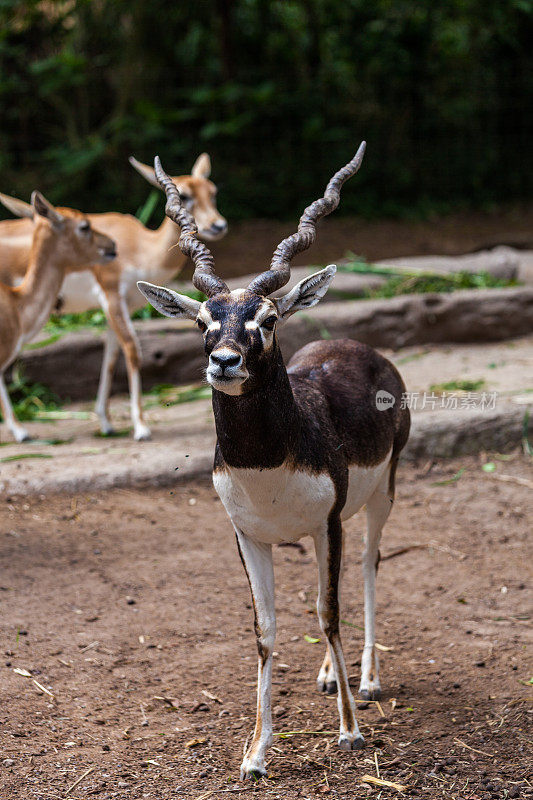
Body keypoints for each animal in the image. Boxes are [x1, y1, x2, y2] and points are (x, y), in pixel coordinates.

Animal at [138, 145, 412, 780]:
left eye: (265, 320)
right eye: (203, 320)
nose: (224, 361)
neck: (268, 465)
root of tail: (357, 346)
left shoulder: (328, 523)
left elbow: (329, 613)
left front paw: (350, 732)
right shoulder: (249, 535)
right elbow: (266, 631)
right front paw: (256, 753)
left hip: (380, 497)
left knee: (369, 565)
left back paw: (366, 681)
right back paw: (330, 676)